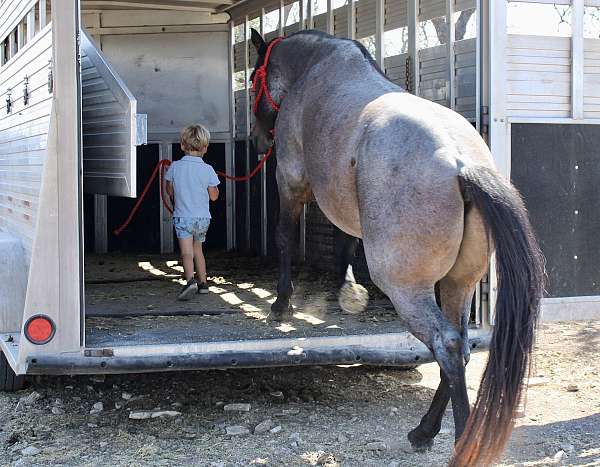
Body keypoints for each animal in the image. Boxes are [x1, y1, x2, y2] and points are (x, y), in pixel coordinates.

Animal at [248, 29, 544, 467]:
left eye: (254, 78)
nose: (256, 138)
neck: (316, 66)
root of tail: (461, 165)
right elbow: (345, 246)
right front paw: (345, 291)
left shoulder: (291, 179)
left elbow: (285, 237)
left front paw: (282, 303)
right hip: (458, 284)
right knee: (461, 346)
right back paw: (425, 430)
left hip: (407, 288)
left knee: (447, 343)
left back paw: (458, 440)